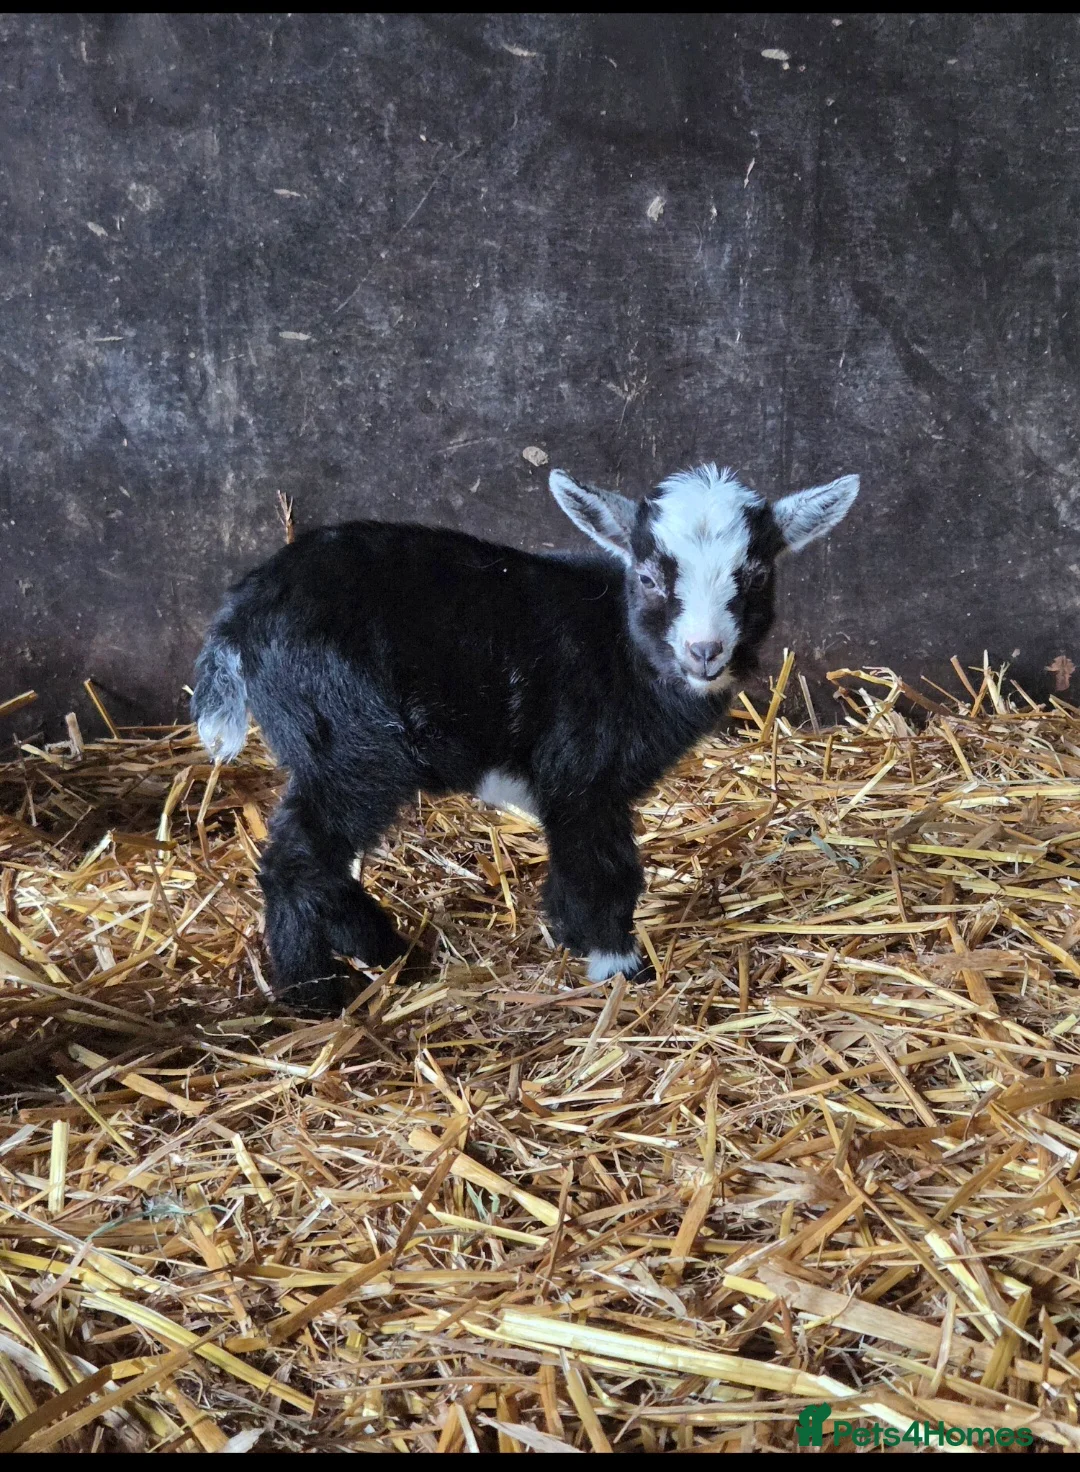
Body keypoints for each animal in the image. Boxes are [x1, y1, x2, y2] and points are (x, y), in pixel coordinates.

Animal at [192, 463, 859, 1012]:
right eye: (647, 577)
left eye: (757, 575)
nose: (705, 651)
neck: (620, 647)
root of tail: (239, 617)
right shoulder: (581, 774)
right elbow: (603, 867)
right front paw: (618, 966)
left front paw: (567, 936)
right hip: (351, 744)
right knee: (298, 859)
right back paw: (316, 992)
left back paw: (388, 950)